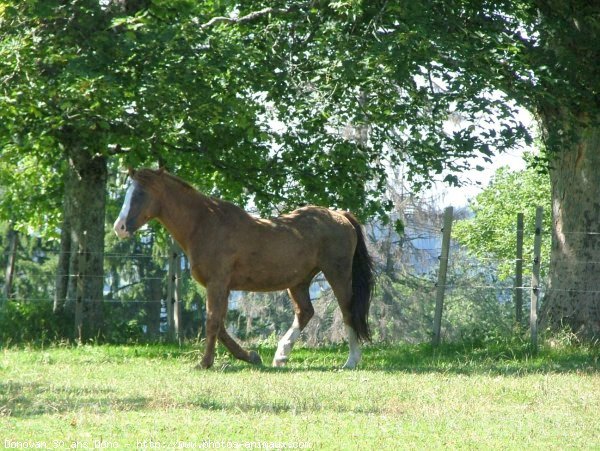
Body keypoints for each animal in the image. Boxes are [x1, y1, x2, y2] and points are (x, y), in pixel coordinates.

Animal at [113, 168, 372, 370]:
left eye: (140, 193)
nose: (119, 227)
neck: (204, 224)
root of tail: (340, 215)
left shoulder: (217, 283)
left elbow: (212, 322)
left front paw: (205, 363)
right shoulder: (222, 287)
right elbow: (220, 324)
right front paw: (250, 356)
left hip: (337, 273)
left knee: (347, 312)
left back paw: (351, 361)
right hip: (299, 281)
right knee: (305, 312)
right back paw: (281, 356)